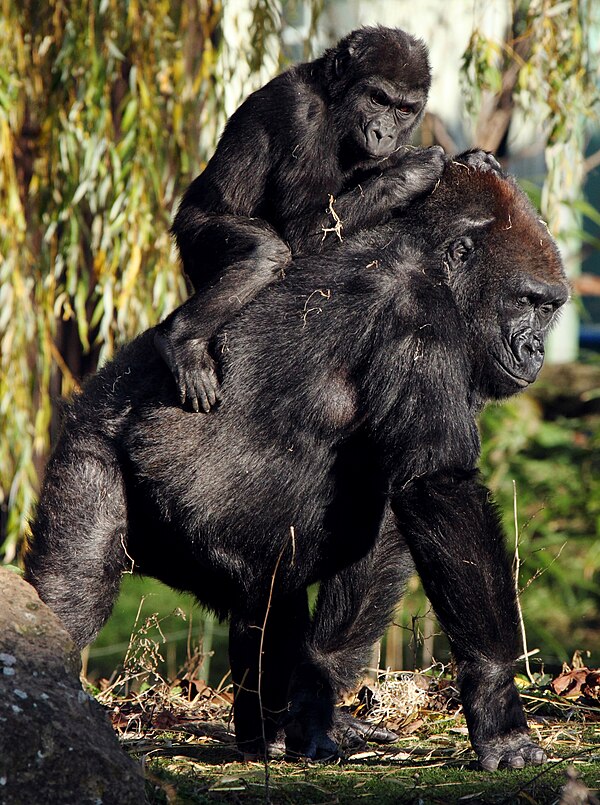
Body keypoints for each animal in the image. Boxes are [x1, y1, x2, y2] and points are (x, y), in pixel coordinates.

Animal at [24, 157, 568, 768]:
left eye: (549, 309)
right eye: (527, 301)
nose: (536, 350)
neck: (429, 259)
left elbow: (395, 512)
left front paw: (322, 687)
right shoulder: (422, 321)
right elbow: (437, 486)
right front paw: (499, 706)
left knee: (260, 598)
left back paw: (267, 729)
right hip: (91, 444)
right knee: (77, 593)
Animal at [155, 26, 446, 414]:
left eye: (403, 109)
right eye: (378, 99)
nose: (384, 133)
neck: (332, 98)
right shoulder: (302, 116)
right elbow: (305, 233)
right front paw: (418, 170)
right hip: (192, 234)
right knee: (266, 254)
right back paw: (181, 340)